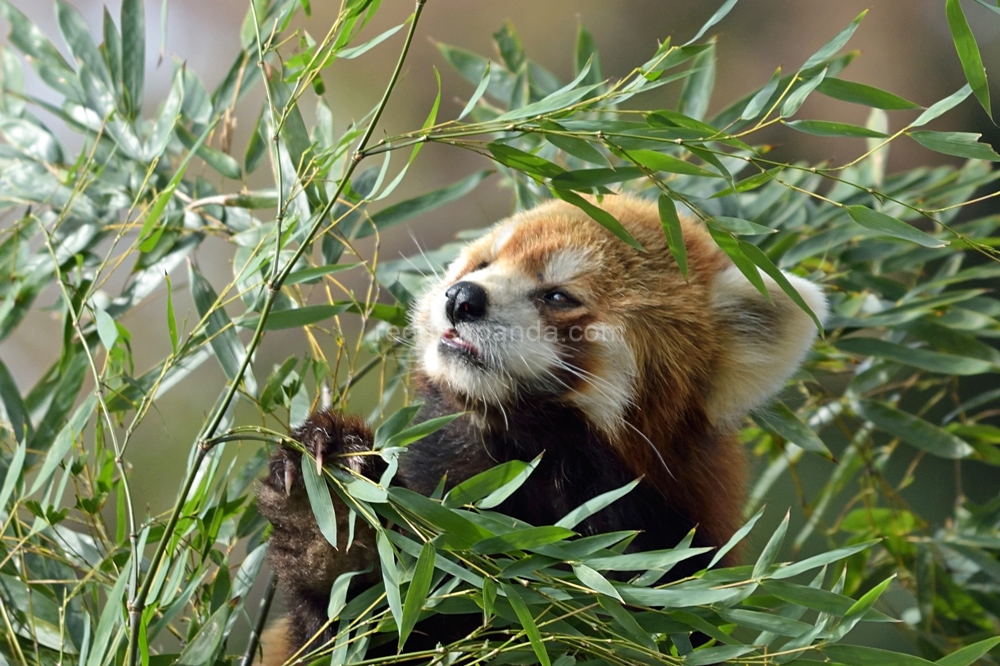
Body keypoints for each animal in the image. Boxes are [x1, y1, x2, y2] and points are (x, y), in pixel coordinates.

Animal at [256, 192, 828, 660]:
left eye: (557, 295)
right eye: (483, 262)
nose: (461, 296)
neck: (527, 455)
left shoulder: (671, 569)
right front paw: (327, 522)